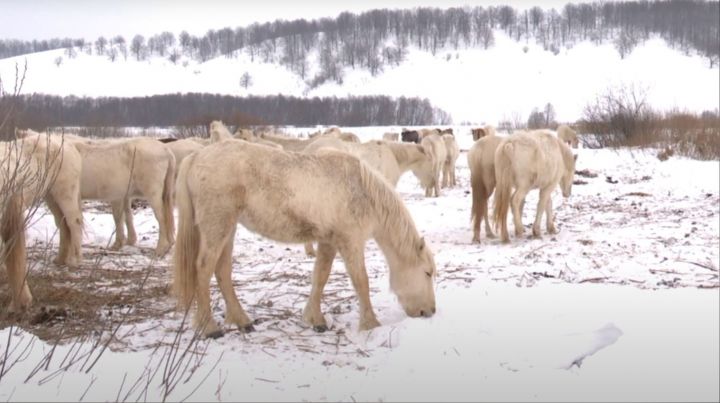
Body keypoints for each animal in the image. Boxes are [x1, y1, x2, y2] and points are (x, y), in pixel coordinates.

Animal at [3, 130, 84, 311]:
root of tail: (69, 145)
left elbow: (14, 258)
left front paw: (19, 303)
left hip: (65, 194)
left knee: (74, 223)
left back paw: (75, 261)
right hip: (50, 196)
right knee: (63, 225)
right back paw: (60, 260)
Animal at [173, 140, 436, 338]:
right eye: (427, 273)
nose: (430, 311)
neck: (363, 190)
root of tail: (195, 156)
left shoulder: (329, 241)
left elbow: (320, 276)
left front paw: (315, 319)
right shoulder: (350, 242)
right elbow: (361, 282)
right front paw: (370, 324)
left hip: (227, 229)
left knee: (223, 271)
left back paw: (242, 321)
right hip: (216, 226)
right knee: (203, 269)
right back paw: (209, 327)